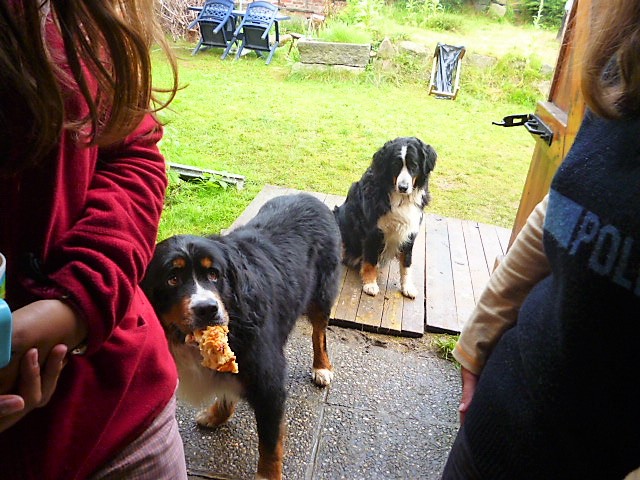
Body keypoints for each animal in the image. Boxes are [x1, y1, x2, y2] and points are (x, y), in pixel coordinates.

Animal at [141, 193, 342, 480]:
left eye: (214, 274)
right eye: (173, 278)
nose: (208, 309)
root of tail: (308, 196)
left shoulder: (269, 384)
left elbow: (270, 443)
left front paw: (268, 474)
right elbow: (227, 387)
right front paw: (217, 415)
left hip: (321, 294)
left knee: (319, 333)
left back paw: (322, 367)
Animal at [333, 137, 437, 298]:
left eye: (413, 165)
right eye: (395, 165)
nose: (403, 187)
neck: (400, 199)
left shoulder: (410, 232)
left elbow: (406, 263)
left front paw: (407, 286)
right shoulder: (372, 231)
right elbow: (370, 260)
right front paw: (370, 284)